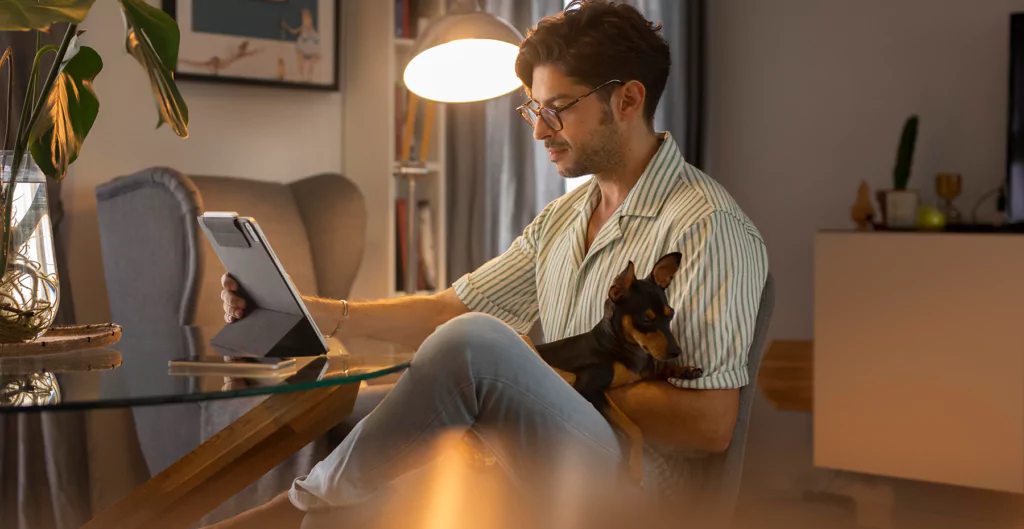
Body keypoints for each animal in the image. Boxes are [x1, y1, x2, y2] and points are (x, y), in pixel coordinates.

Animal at [524, 253, 700, 485]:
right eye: (646, 319)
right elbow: (634, 428)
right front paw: (636, 467)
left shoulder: (644, 374)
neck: (624, 348)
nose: (676, 351)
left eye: (670, 315)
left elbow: (660, 371)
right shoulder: (589, 389)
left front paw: (685, 369)